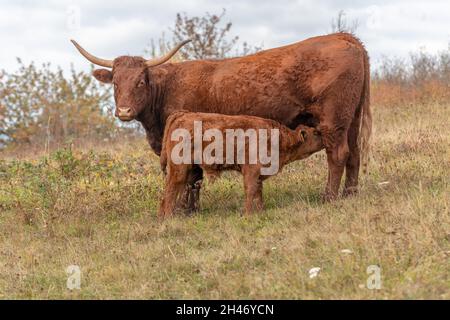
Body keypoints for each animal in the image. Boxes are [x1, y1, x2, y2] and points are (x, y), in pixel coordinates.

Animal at [158, 110, 324, 218]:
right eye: (315, 133)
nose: (324, 137)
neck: (278, 138)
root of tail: (182, 114)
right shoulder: (251, 171)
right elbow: (250, 190)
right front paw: (248, 214)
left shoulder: (259, 174)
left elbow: (258, 192)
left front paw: (260, 211)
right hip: (179, 169)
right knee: (170, 190)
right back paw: (168, 218)